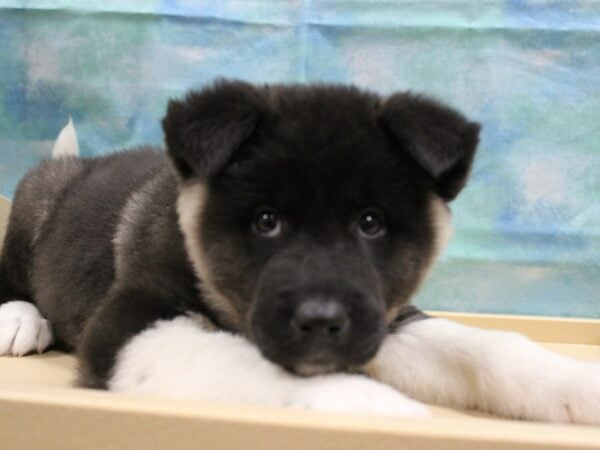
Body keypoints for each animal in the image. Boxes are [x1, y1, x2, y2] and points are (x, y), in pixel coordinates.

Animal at [1, 80, 600, 422]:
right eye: (266, 221)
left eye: (371, 223)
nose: (321, 319)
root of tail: (79, 162)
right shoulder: (128, 324)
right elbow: (243, 364)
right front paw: (372, 407)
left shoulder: (382, 317)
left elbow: (480, 349)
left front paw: (575, 383)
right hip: (32, 204)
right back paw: (21, 320)